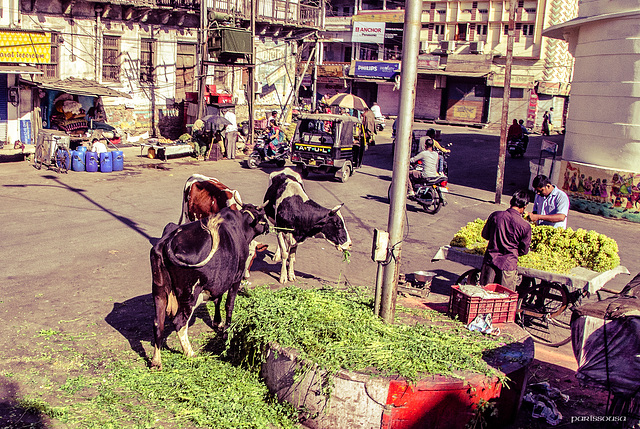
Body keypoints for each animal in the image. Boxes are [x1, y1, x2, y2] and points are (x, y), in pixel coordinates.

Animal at [151, 203, 270, 368]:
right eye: (263, 215)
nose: (269, 226)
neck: (241, 227)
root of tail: (166, 242)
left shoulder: (218, 280)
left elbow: (217, 299)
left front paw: (217, 322)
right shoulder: (235, 278)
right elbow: (229, 304)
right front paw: (227, 329)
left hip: (159, 291)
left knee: (158, 323)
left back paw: (156, 361)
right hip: (189, 294)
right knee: (179, 322)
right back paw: (190, 353)